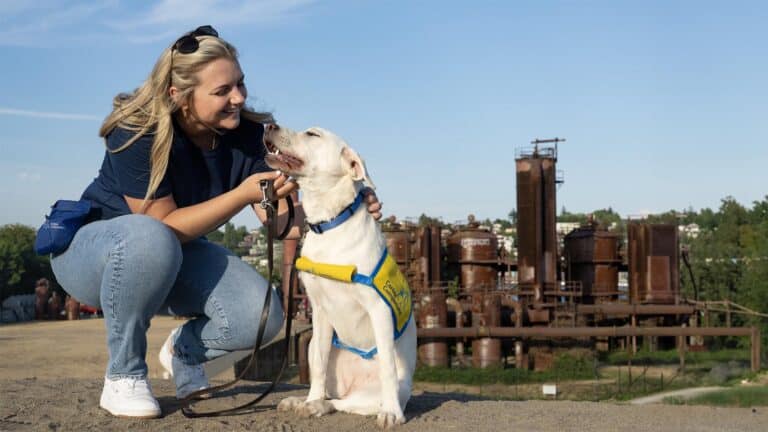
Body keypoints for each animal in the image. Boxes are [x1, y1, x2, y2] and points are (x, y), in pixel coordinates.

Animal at [266, 124, 420, 428]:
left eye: (312, 134)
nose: (269, 125)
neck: (330, 224)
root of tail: (351, 386)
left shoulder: (379, 310)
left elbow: (386, 365)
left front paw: (392, 413)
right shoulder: (319, 311)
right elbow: (320, 365)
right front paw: (310, 398)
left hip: (377, 393)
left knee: (342, 403)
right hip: (316, 346)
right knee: (329, 391)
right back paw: (306, 402)